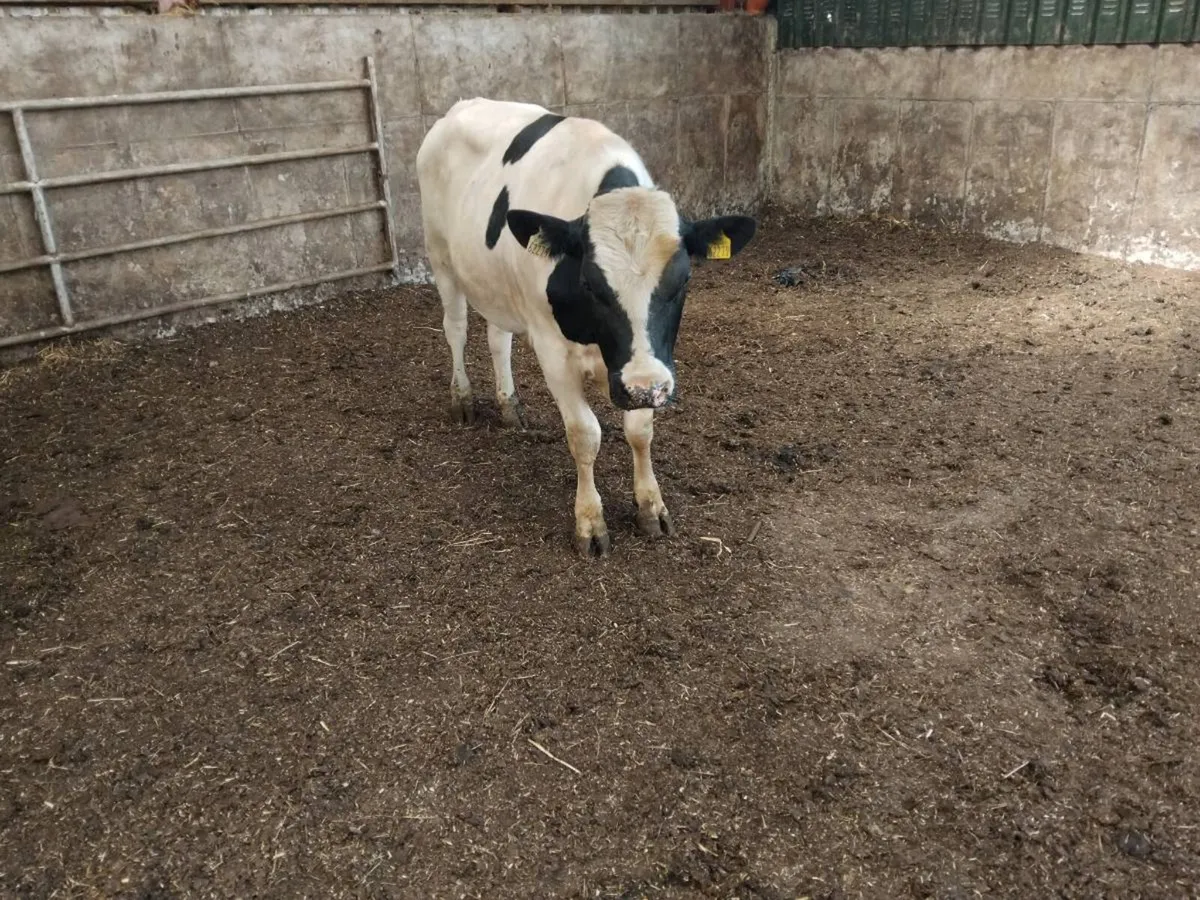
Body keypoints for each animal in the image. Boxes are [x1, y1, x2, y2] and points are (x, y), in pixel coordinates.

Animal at [416, 98, 756, 558]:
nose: (646, 388)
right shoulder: (553, 352)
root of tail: (463, 105)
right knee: (456, 329)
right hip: (440, 258)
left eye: (683, 280)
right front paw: (590, 523)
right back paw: (463, 399)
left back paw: (509, 405)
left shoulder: (641, 367)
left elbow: (640, 431)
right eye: (590, 284)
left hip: (494, 282)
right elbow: (585, 434)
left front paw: (651, 507)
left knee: (497, 338)